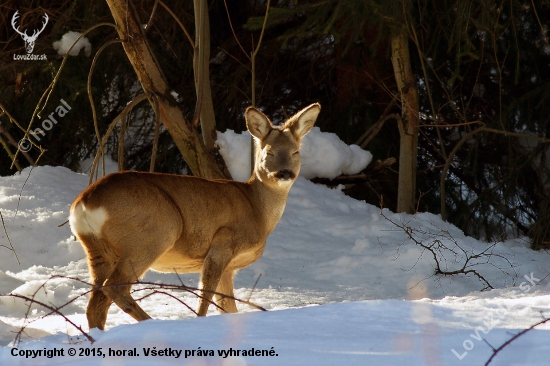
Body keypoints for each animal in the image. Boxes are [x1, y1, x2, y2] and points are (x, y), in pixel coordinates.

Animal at [68, 102, 322, 328]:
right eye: (269, 152)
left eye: (295, 152)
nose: (284, 173)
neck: (256, 209)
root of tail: (83, 203)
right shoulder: (222, 244)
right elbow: (206, 297)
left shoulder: (229, 268)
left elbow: (228, 307)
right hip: (152, 234)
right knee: (114, 288)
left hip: (98, 250)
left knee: (96, 302)